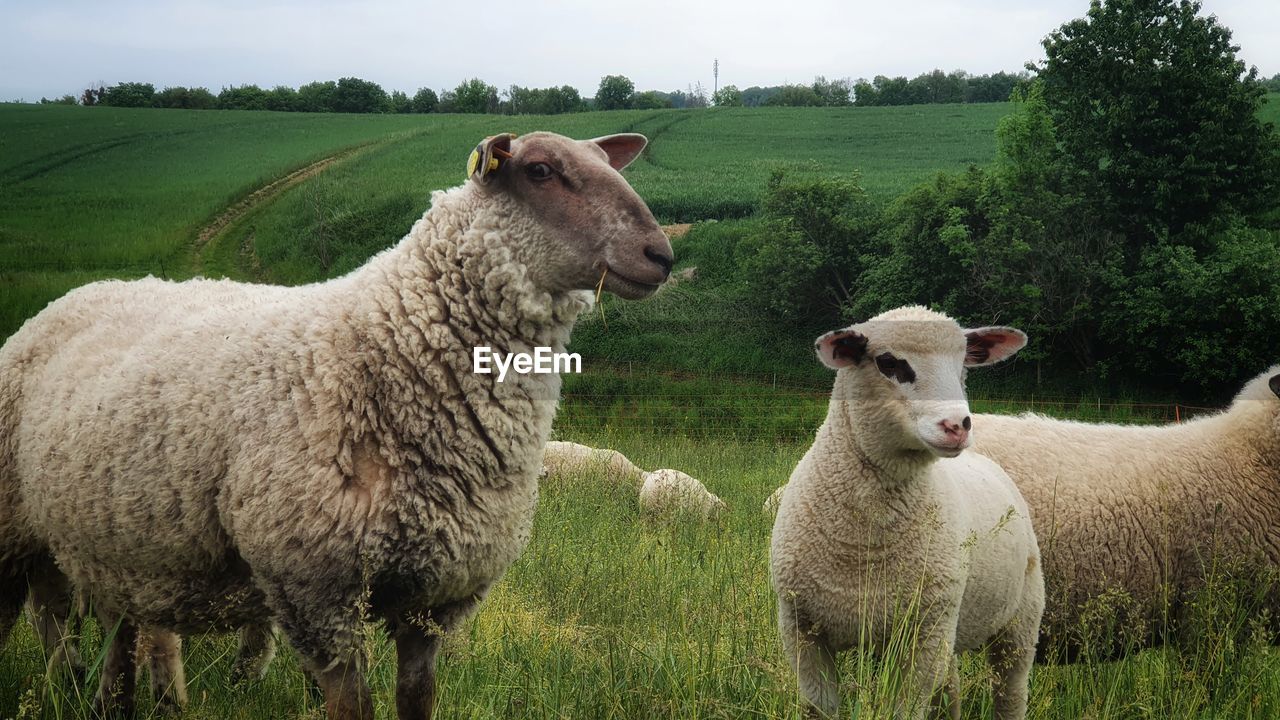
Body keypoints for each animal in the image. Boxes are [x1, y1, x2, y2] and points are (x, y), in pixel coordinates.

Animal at [0, 130, 675, 717]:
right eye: (539, 170)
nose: (662, 255)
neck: (397, 341)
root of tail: (73, 298)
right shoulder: (316, 588)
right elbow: (352, 706)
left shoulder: (435, 598)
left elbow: (417, 700)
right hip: (16, 532)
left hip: (118, 550)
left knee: (120, 641)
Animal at [762, 304, 1044, 712]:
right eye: (889, 363)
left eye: (963, 365)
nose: (957, 425)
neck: (864, 545)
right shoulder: (802, 630)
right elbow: (821, 707)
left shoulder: (923, 635)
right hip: (952, 629)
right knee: (951, 688)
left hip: (1019, 620)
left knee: (1010, 693)